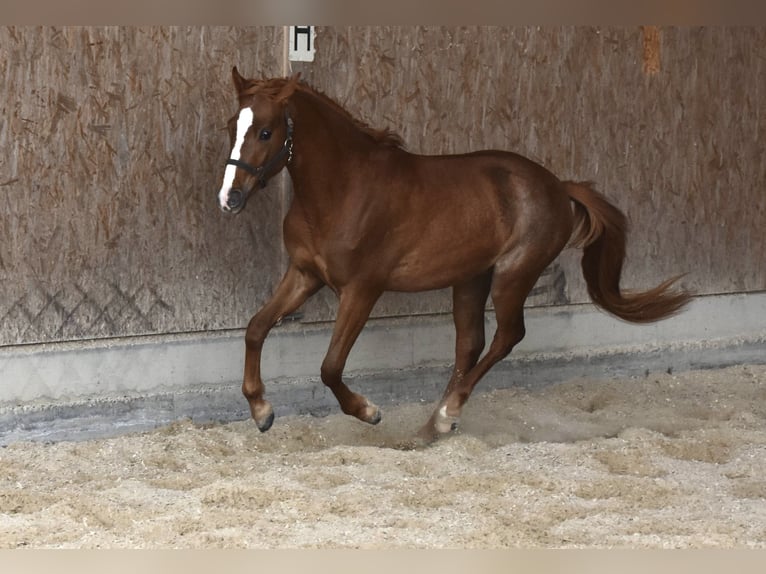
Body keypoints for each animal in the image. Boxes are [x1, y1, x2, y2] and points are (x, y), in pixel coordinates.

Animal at [218, 68, 696, 446]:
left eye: (265, 131)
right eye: (231, 126)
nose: (229, 198)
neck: (343, 190)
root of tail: (559, 187)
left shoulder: (362, 290)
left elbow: (330, 367)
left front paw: (369, 411)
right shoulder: (304, 274)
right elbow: (256, 329)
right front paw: (262, 412)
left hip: (512, 276)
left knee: (507, 337)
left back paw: (448, 415)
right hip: (470, 279)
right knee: (471, 344)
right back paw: (433, 425)